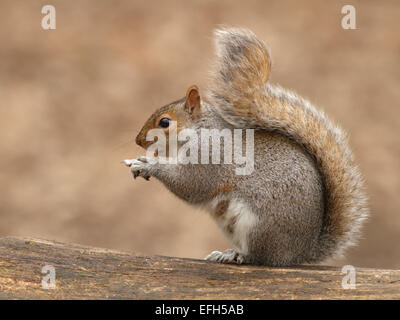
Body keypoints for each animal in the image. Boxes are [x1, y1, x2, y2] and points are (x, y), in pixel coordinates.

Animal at [122, 27, 368, 266]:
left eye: (164, 122)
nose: (138, 140)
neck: (200, 130)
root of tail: (299, 254)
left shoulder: (209, 156)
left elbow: (190, 184)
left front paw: (148, 164)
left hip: (259, 226)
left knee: (261, 257)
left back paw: (237, 256)